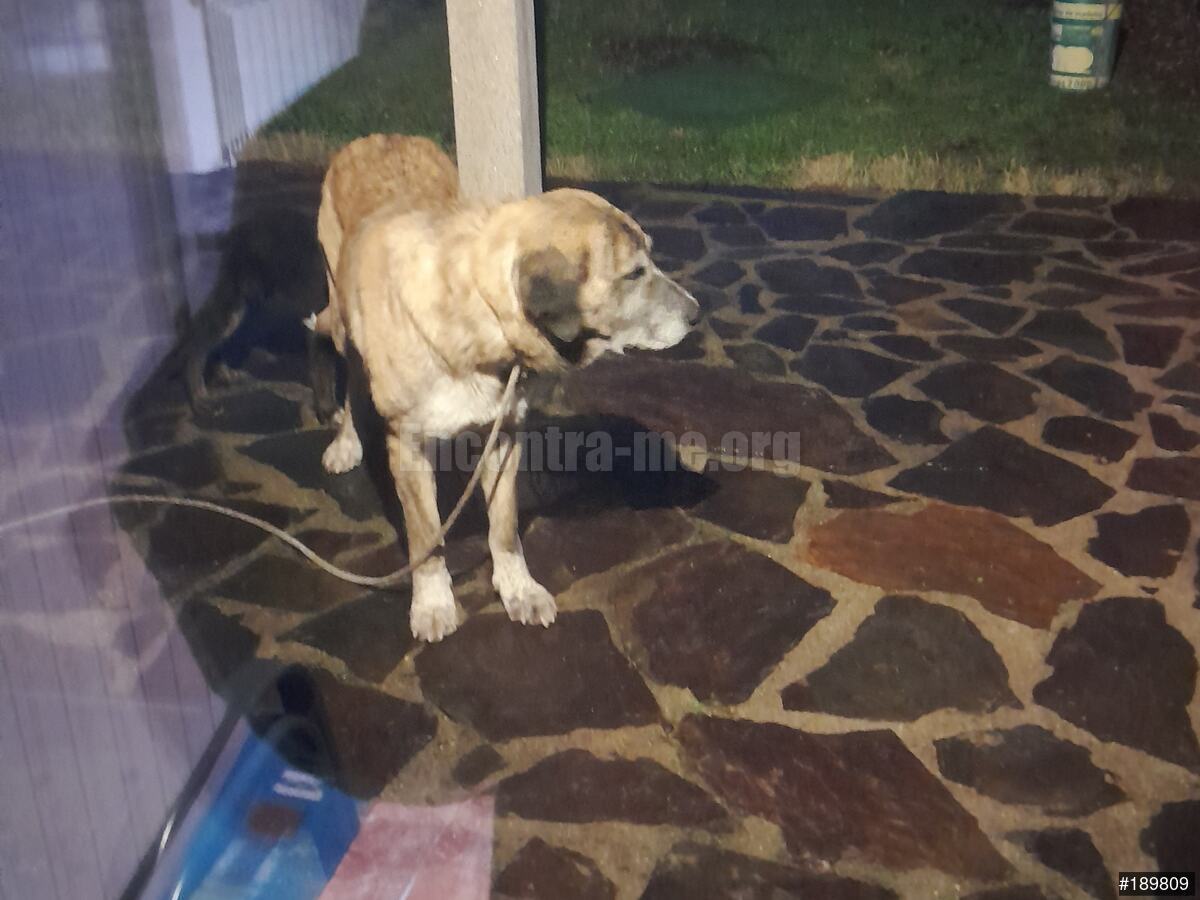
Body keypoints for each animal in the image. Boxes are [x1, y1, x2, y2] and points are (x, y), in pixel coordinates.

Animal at [311, 137, 699, 642]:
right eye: (634, 274)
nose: (697, 314)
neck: (479, 313)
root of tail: (378, 138)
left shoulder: (506, 436)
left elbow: (504, 526)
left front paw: (518, 589)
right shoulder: (408, 447)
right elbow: (426, 538)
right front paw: (433, 602)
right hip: (341, 316)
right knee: (348, 372)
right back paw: (346, 442)